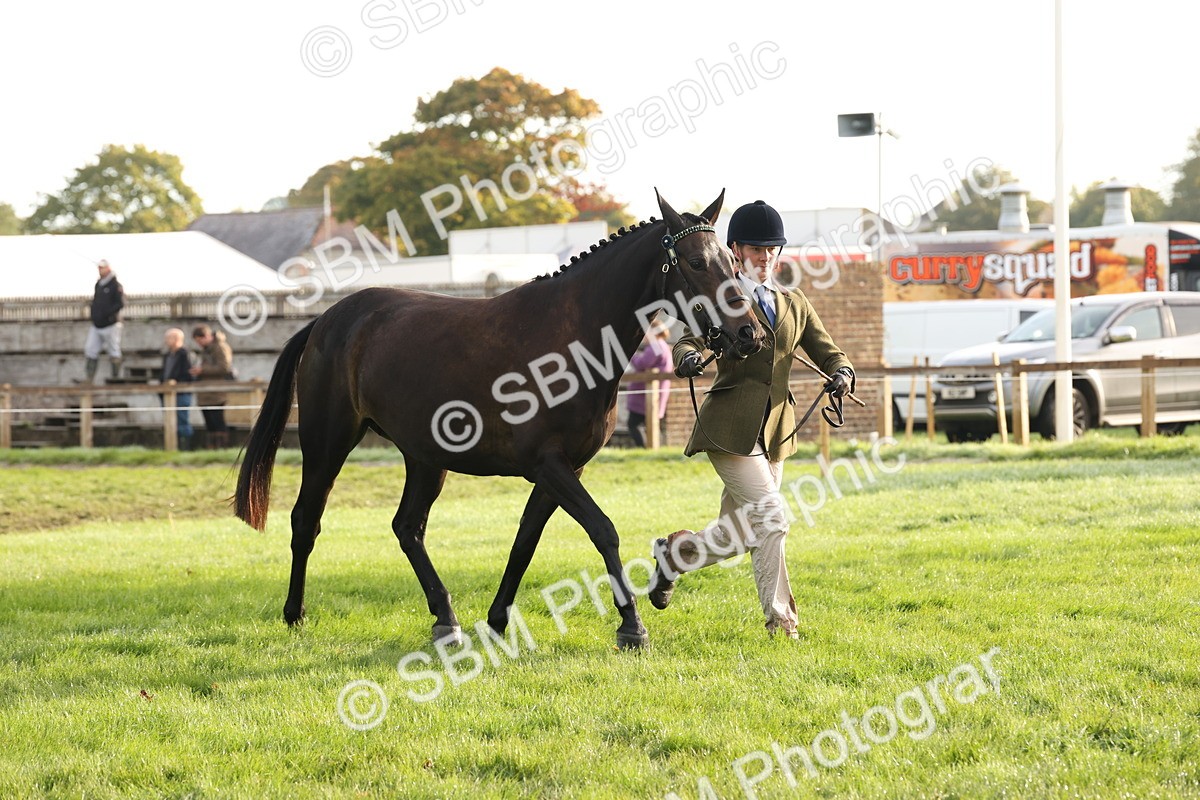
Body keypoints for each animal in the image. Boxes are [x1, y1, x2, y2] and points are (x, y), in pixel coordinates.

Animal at [234, 190, 765, 649]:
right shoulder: (548, 465)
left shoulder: (562, 470)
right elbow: (603, 530)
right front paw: (631, 626)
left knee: (408, 528)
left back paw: (445, 620)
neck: (571, 339)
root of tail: (325, 321)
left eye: (732, 261)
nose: (749, 333)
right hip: (328, 442)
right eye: (696, 262)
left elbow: (524, 543)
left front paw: (495, 620)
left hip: (425, 459)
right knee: (306, 520)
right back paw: (295, 614)